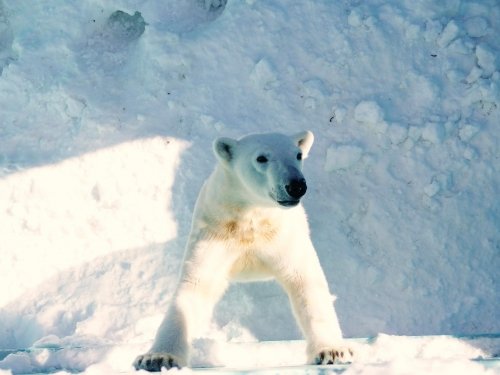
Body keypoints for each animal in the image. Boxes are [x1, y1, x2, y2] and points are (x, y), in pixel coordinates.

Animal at [133, 131, 352, 372]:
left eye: (298, 155)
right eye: (261, 158)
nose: (296, 185)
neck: (250, 219)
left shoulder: (283, 238)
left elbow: (306, 282)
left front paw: (333, 351)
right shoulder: (215, 233)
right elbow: (195, 285)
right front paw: (157, 358)